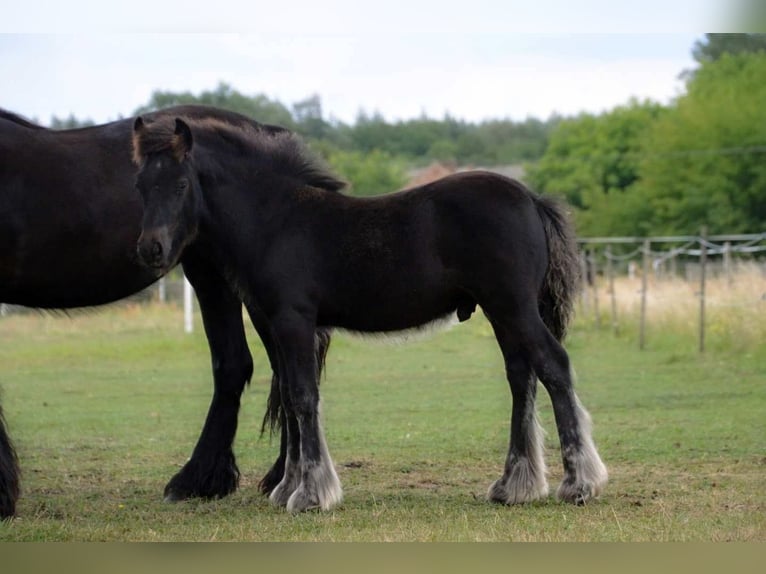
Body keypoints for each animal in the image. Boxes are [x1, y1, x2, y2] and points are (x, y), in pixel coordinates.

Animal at [132, 115, 608, 516]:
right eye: (139, 184)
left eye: (180, 184)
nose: (150, 249)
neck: (275, 220)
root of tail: (531, 198)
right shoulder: (275, 324)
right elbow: (288, 395)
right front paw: (287, 488)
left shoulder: (293, 321)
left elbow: (302, 397)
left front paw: (310, 494)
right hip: (502, 313)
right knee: (521, 378)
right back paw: (514, 486)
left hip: (514, 307)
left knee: (554, 366)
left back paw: (578, 484)